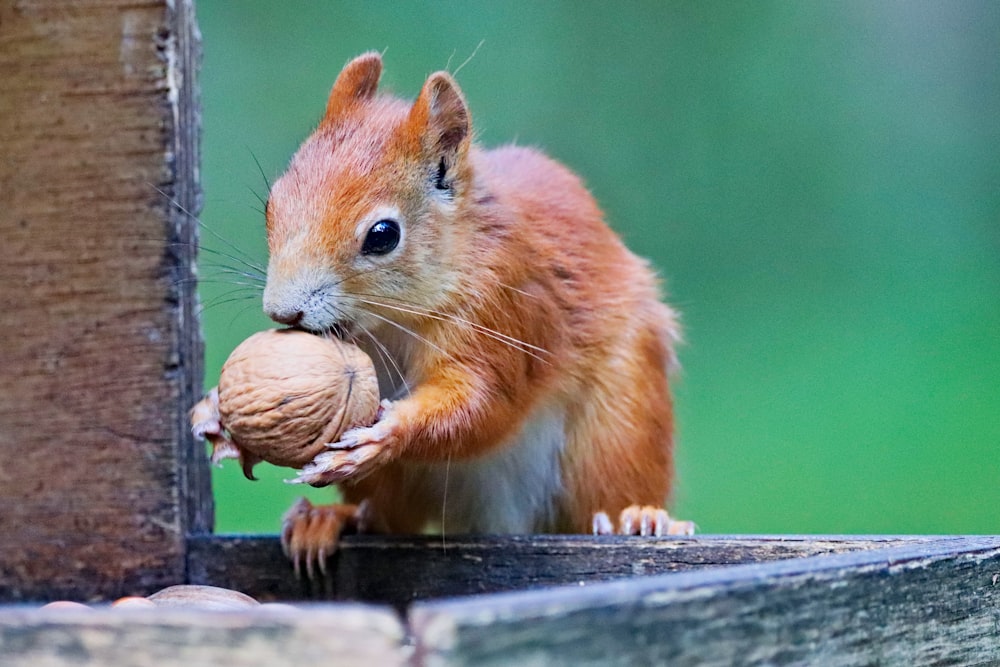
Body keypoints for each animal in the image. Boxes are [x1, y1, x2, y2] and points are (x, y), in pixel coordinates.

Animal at [202, 52, 692, 576]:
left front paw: (387, 434)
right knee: (387, 519)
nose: (284, 311)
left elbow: (483, 403)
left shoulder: (504, 307)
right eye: (271, 205)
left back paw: (639, 519)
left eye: (383, 235)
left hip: (618, 427)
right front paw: (216, 412)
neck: (393, 323)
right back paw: (331, 519)